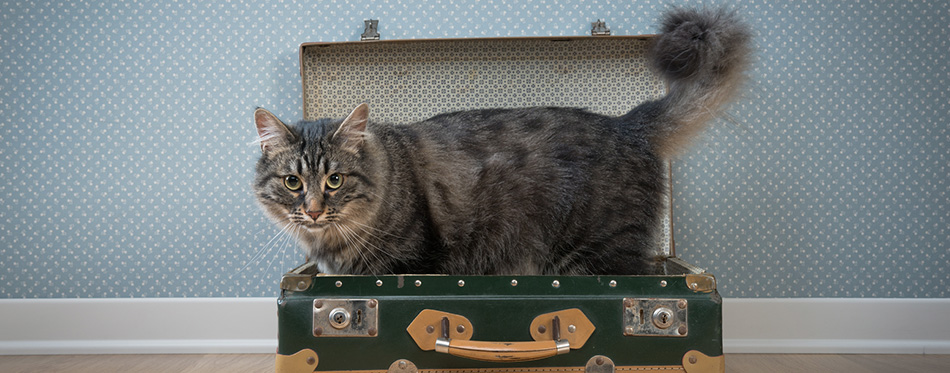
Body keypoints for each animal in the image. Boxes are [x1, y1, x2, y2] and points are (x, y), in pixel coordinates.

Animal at [251, 5, 752, 274]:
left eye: (334, 180)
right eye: (293, 183)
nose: (314, 209)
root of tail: (626, 124)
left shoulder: (414, 262)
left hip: (596, 253)